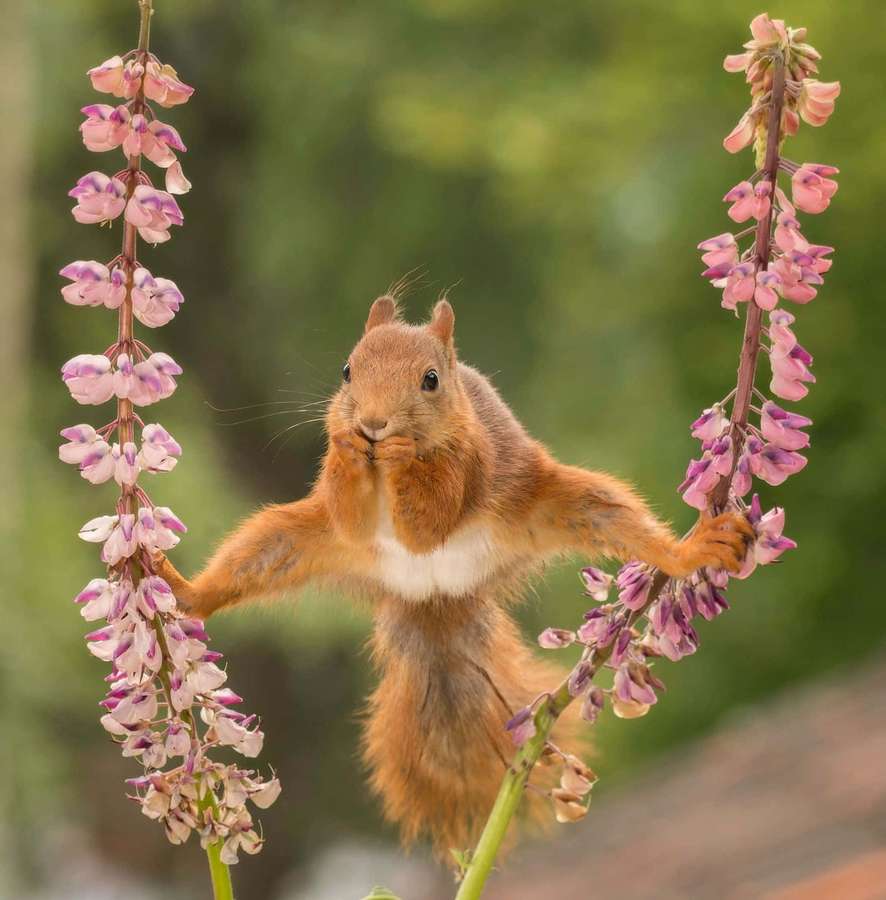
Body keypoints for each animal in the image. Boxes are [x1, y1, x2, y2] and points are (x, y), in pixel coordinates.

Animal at [154, 295, 752, 855]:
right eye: (346, 370)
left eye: (431, 380)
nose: (373, 424)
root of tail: (435, 595)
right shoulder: (344, 517)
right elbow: (350, 514)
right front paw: (348, 446)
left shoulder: (471, 461)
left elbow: (430, 520)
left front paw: (399, 454)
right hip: (290, 540)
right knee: (254, 557)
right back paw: (185, 592)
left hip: (559, 503)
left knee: (615, 517)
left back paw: (691, 550)